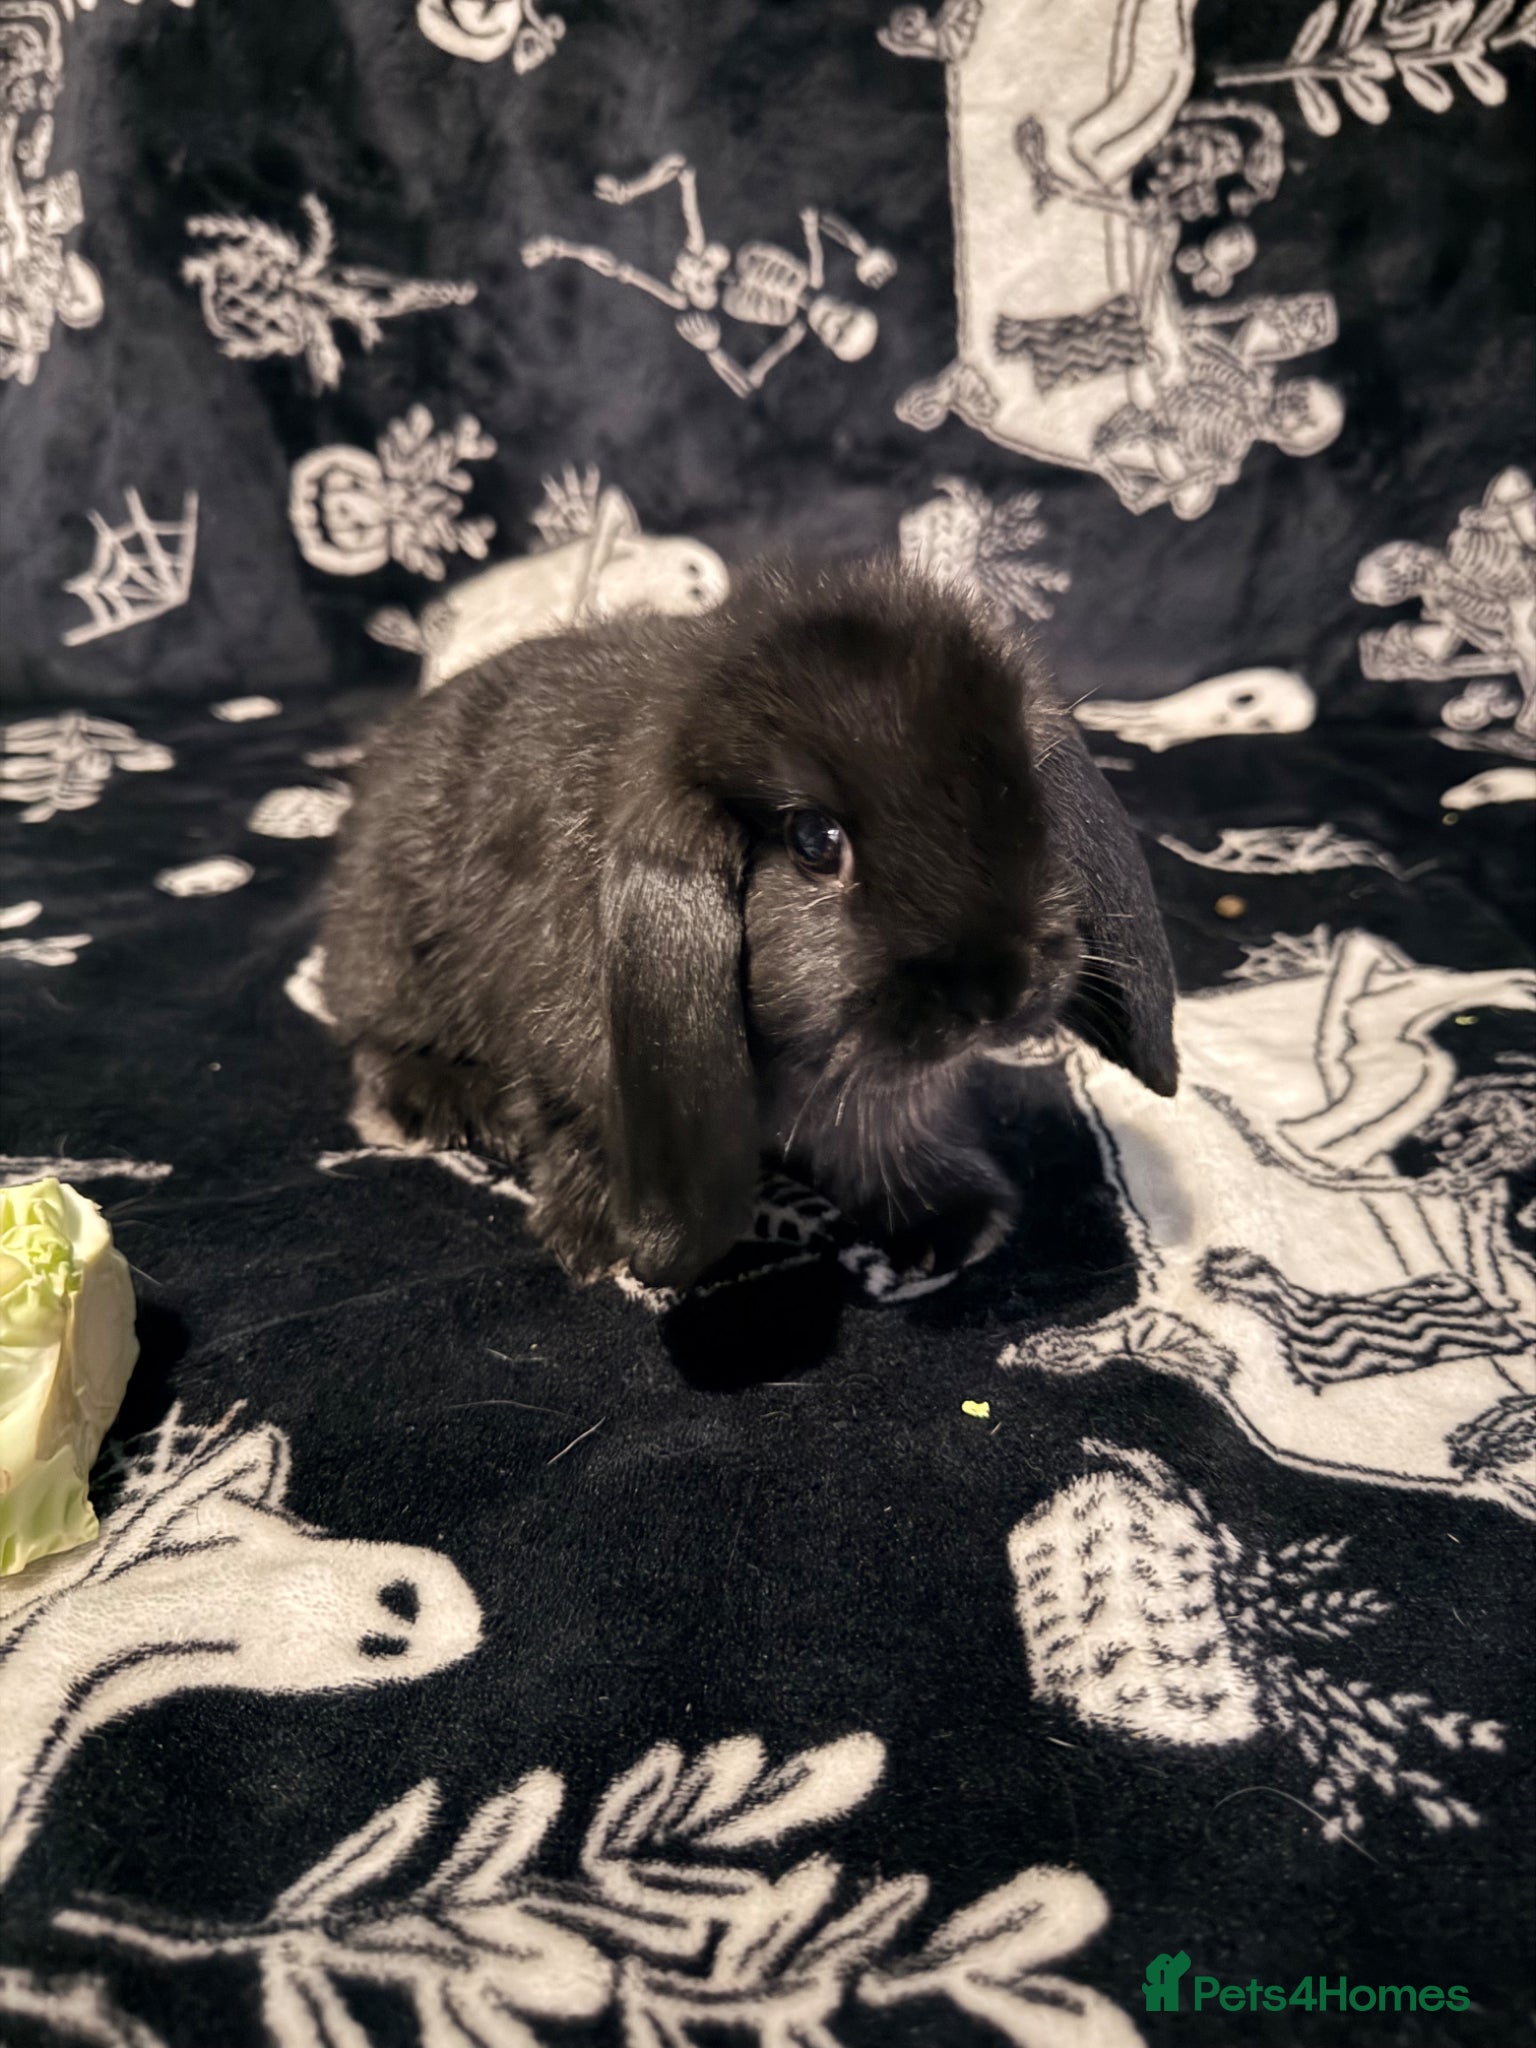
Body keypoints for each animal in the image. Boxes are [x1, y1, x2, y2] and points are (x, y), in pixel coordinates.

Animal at [320, 558, 1177, 1292]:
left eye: (1026, 799)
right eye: (814, 841)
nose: (998, 993)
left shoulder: (884, 1094)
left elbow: (885, 1135)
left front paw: (955, 1222)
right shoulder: (568, 1061)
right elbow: (581, 1134)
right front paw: (601, 1245)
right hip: (396, 961)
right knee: (376, 1049)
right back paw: (453, 1107)